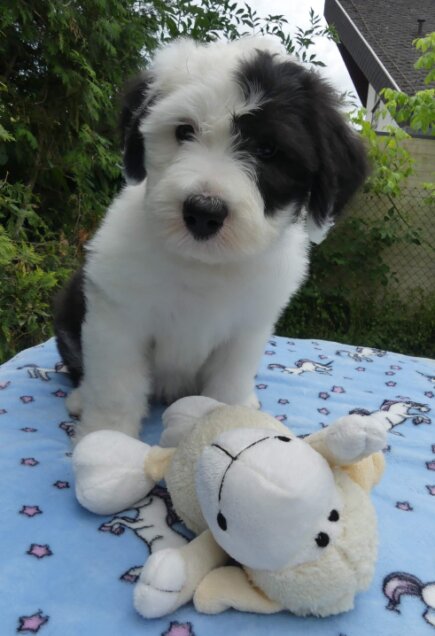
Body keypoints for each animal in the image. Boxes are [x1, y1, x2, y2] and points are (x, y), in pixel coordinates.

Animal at [54, 37, 367, 442]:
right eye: (184, 131)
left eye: (268, 150)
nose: (204, 212)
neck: (202, 264)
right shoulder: (119, 319)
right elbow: (116, 388)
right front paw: (106, 438)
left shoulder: (245, 332)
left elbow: (228, 384)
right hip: (71, 303)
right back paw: (81, 398)